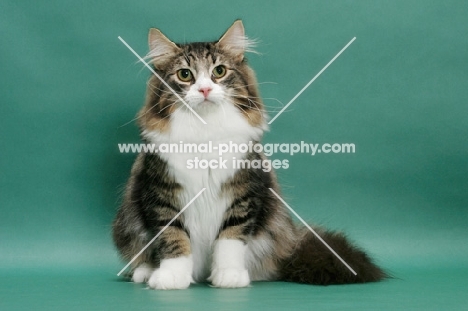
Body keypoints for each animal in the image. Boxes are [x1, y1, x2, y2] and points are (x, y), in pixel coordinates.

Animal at [111, 20, 386, 292]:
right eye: (185, 75)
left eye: (219, 71)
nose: (205, 89)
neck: (205, 129)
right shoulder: (161, 194)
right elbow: (173, 239)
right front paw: (172, 277)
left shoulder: (244, 194)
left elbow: (230, 240)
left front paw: (229, 276)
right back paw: (146, 272)